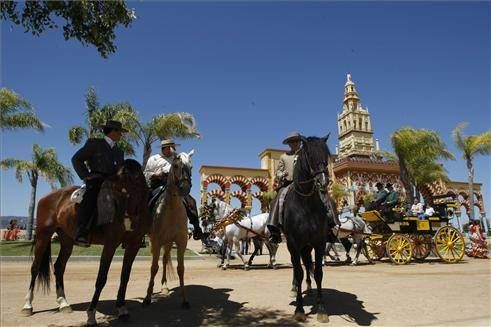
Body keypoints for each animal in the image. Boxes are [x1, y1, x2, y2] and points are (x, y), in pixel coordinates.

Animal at [21, 159, 151, 326]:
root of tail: (47, 197)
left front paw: (122, 309)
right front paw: (91, 315)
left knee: (59, 267)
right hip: (43, 236)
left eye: (123, 175)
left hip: (67, 240)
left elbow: (125, 277)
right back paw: (27, 305)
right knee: (35, 268)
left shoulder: (133, 245)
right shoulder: (110, 244)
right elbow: (101, 279)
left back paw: (63, 303)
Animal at [284, 135, 334, 324]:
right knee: (297, 266)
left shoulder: (319, 243)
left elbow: (318, 272)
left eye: (326, 155)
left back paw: (310, 288)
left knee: (307, 264)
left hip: (307, 246)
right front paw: (299, 309)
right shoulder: (293, 243)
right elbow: (298, 271)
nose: (323, 181)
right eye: (310, 156)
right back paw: (295, 288)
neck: (305, 205)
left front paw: (321, 308)